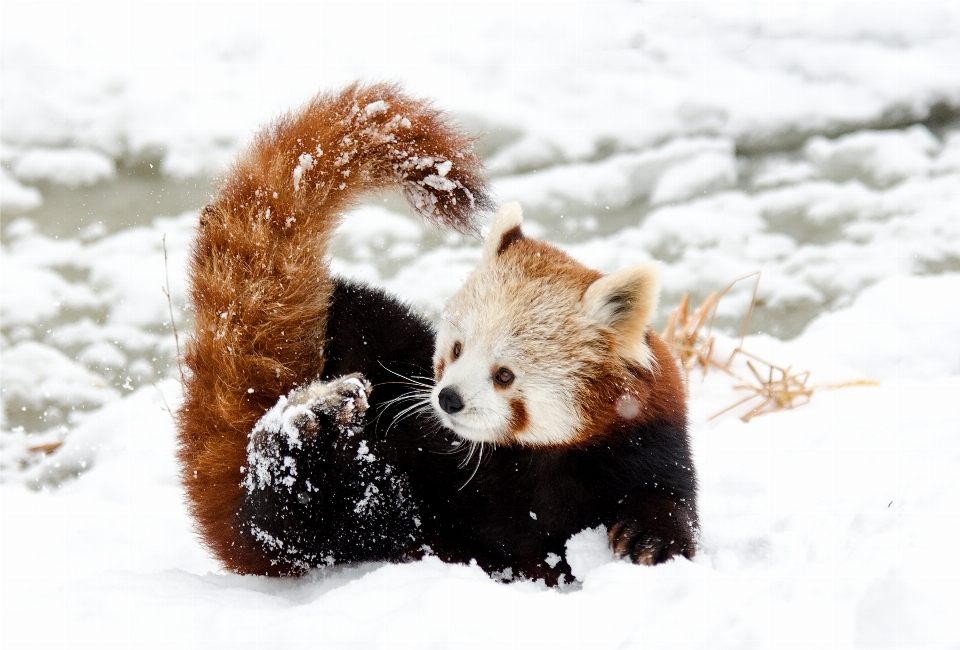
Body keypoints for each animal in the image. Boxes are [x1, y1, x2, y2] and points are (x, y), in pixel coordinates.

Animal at [178, 81, 696, 584]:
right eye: (457, 349)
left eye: (504, 375)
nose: (448, 399)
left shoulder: (646, 441)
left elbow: (664, 499)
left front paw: (650, 540)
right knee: (287, 513)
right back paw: (309, 415)